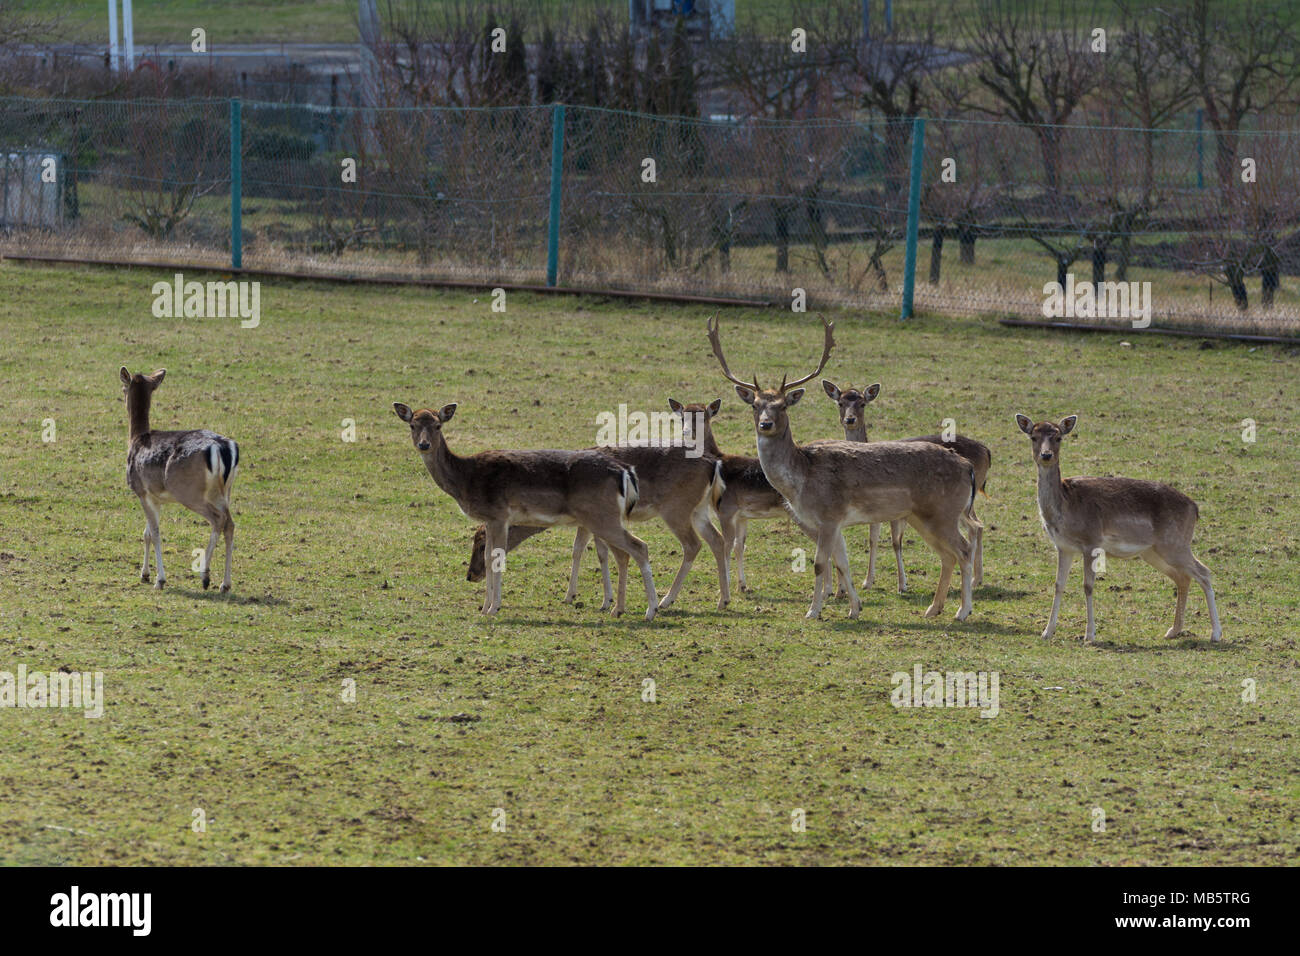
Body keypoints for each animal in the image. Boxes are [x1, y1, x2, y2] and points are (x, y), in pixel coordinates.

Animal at [119, 366, 239, 590]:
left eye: (123, 387)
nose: (121, 396)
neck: (136, 439)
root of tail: (223, 448)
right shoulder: (155, 497)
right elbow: (147, 533)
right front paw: (144, 574)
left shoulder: (140, 490)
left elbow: (155, 532)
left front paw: (160, 580)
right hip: (225, 491)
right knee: (230, 523)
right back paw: (225, 584)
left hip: (188, 491)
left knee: (217, 519)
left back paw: (205, 576)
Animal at [392, 403, 660, 621]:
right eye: (413, 424)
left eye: (437, 425)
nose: (424, 444)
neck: (466, 479)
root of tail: (624, 471)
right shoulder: (491, 520)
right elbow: (489, 558)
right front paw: (484, 607)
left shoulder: (498, 515)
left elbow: (496, 558)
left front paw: (493, 608)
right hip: (603, 519)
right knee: (624, 553)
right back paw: (618, 609)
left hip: (602, 517)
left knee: (640, 546)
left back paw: (651, 610)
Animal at [821, 379, 993, 590]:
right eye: (840, 403)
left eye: (862, 403)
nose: (850, 420)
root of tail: (986, 450)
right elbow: (873, 539)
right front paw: (867, 581)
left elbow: (896, 542)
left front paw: (902, 584)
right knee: (977, 525)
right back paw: (977, 578)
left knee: (975, 527)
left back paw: (976, 579)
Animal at [1013, 413, 1216, 642]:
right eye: (1033, 436)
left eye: (1058, 437)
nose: (1046, 455)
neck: (1065, 509)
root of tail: (1195, 508)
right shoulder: (1063, 547)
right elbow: (1058, 585)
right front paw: (1047, 632)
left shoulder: (1091, 541)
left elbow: (1088, 586)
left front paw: (1089, 635)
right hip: (1153, 552)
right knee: (1183, 577)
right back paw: (1173, 631)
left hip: (1175, 544)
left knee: (1204, 572)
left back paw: (1215, 633)